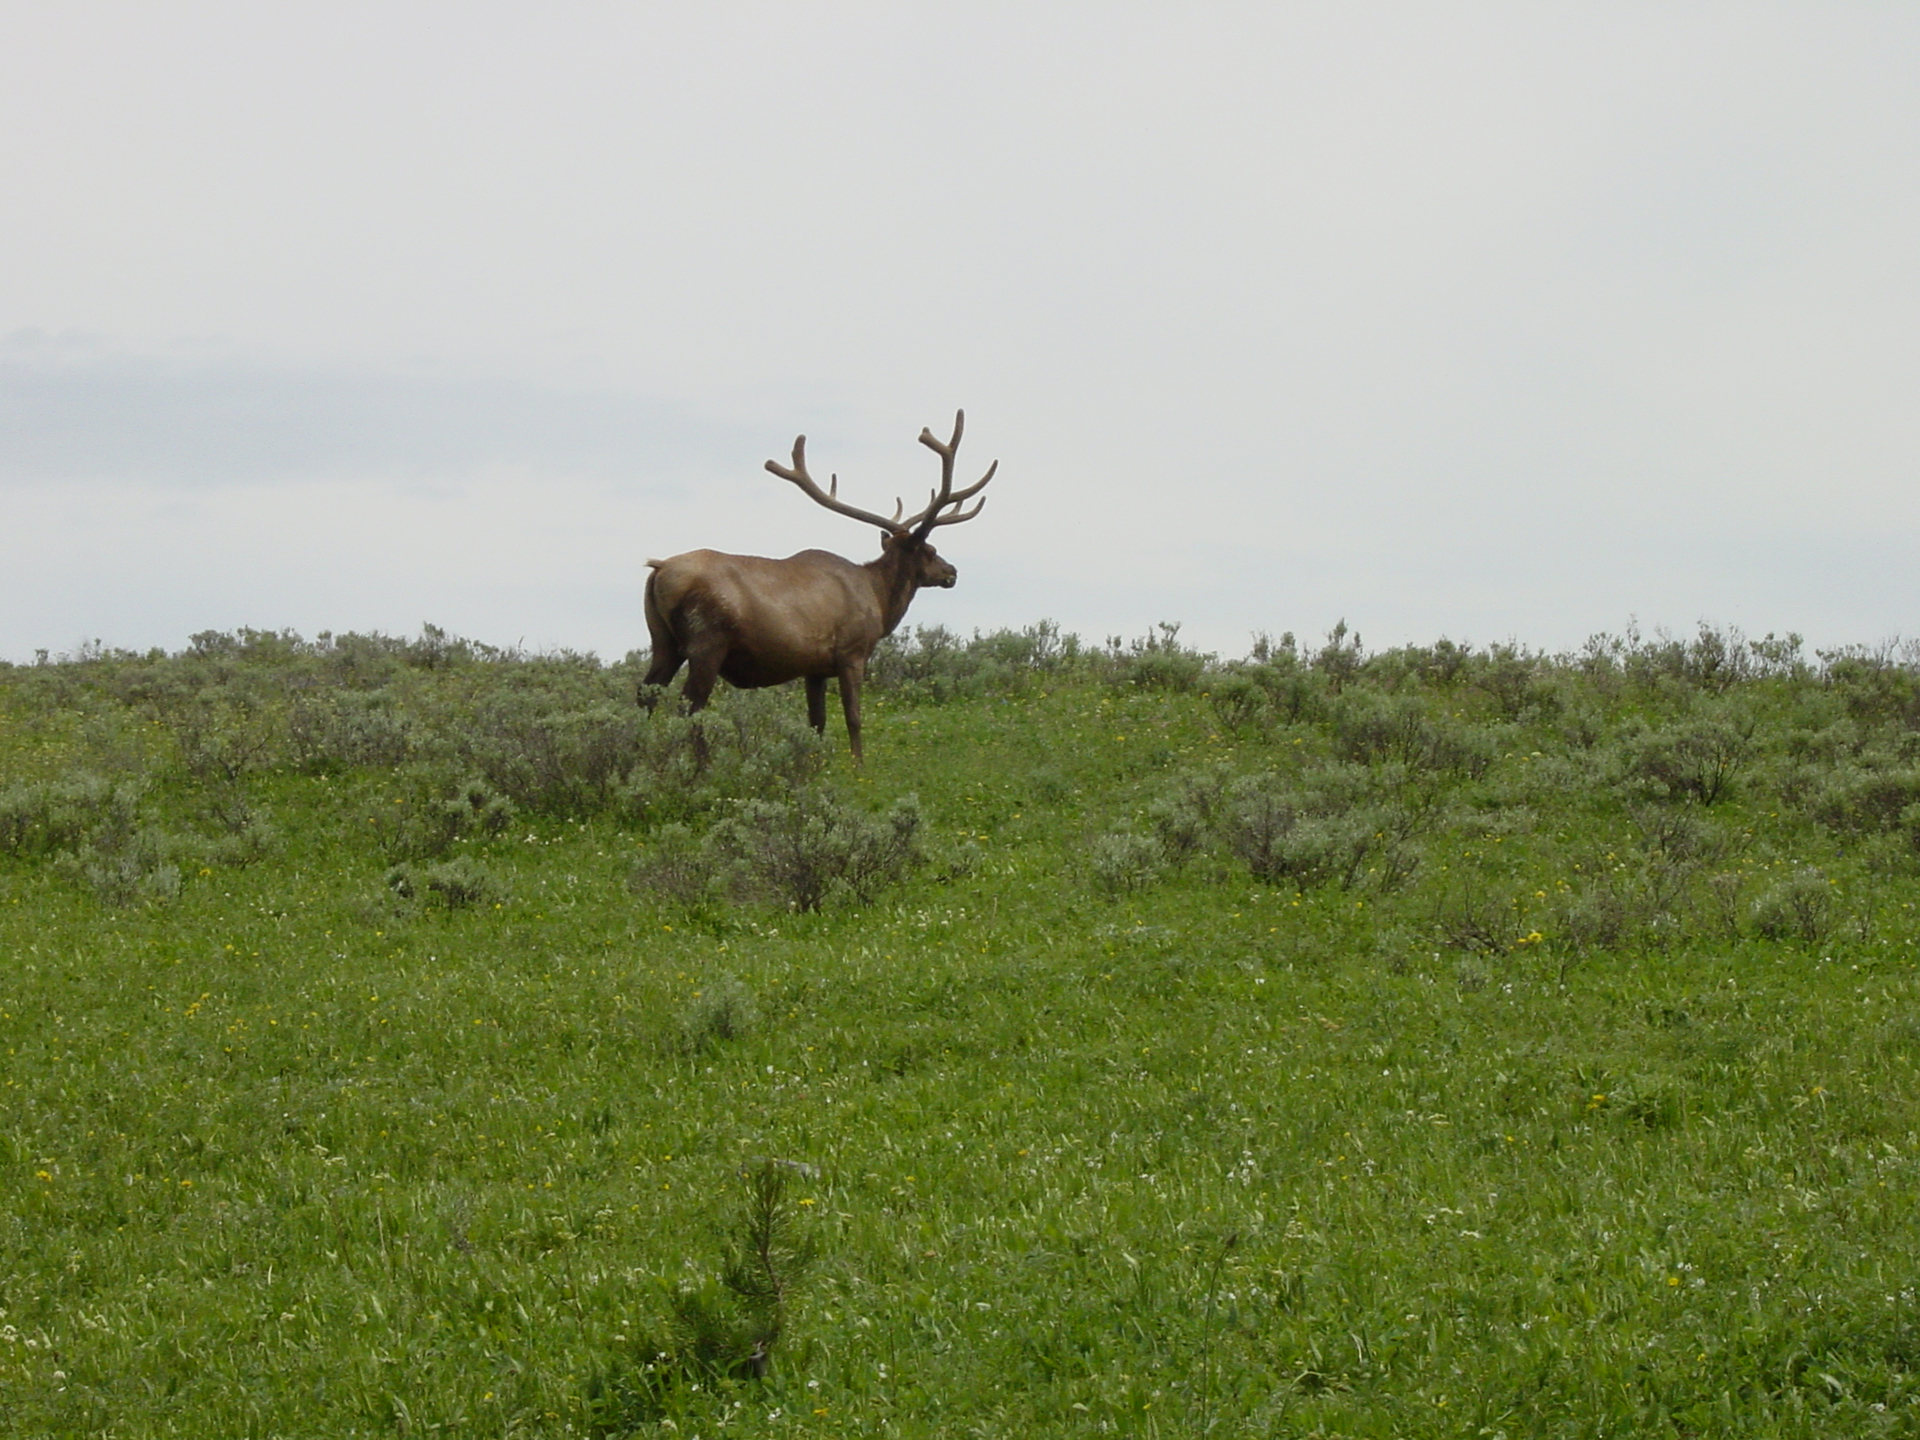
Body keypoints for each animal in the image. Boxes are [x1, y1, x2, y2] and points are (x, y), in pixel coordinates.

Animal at [640, 410, 997, 760]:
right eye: (930, 550)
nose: (952, 571)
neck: (880, 601)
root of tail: (659, 570)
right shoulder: (852, 652)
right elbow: (853, 717)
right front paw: (858, 766)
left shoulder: (814, 668)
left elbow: (817, 722)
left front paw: (814, 762)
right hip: (708, 641)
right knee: (690, 706)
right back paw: (701, 764)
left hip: (663, 640)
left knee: (645, 695)